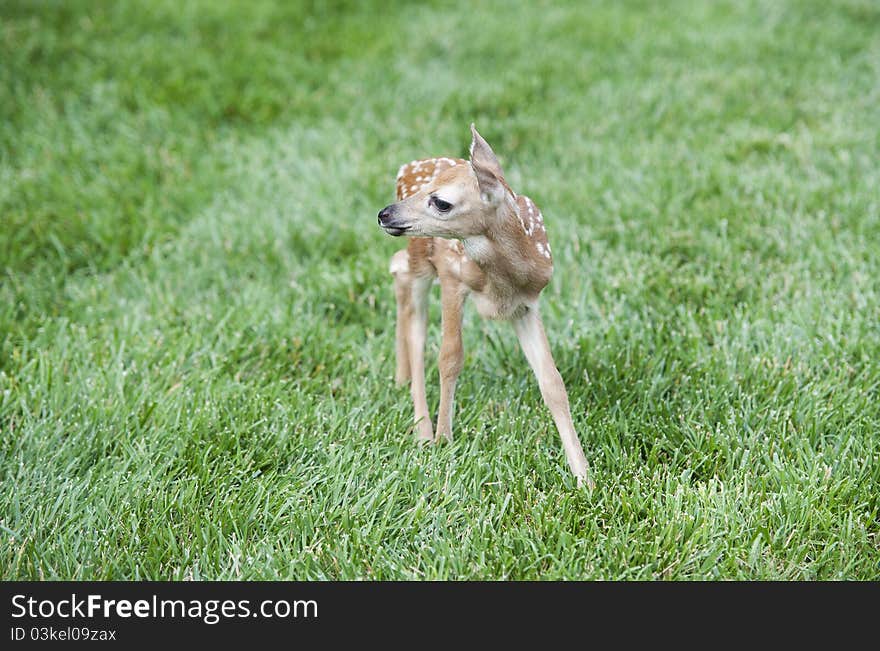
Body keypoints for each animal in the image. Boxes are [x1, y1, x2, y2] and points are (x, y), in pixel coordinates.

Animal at [376, 123, 592, 488]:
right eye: (429, 189)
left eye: (441, 202)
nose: (384, 213)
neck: (503, 280)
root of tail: (407, 166)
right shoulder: (452, 275)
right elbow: (450, 357)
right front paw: (444, 441)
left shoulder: (527, 305)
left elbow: (552, 382)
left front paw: (583, 476)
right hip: (423, 256)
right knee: (414, 317)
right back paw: (422, 430)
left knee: (397, 272)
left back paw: (401, 379)